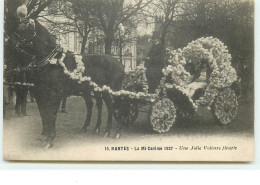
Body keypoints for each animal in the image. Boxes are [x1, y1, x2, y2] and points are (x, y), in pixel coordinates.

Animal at [5, 13, 124, 148]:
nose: (8, 44)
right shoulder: (41, 92)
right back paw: (96, 129)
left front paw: (50, 139)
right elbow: (43, 113)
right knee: (97, 105)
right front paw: (44, 135)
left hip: (111, 90)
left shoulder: (55, 93)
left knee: (115, 106)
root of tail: (120, 63)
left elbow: (51, 113)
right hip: (93, 90)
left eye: (24, 28)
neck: (51, 60)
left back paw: (115, 132)